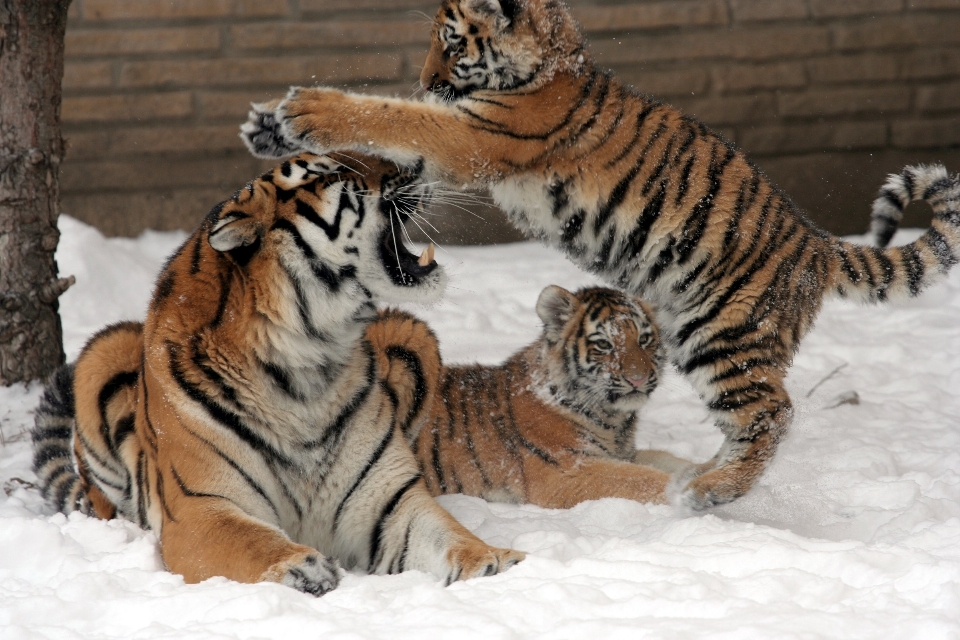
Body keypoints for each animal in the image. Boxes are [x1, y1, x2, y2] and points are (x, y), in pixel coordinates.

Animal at [30, 152, 520, 596]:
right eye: (331, 174)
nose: (416, 164)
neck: (307, 361)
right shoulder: (200, 507)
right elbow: (250, 541)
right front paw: (302, 568)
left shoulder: (390, 502)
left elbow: (449, 535)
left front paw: (495, 562)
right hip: (104, 350)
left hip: (413, 334)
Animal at [364, 288, 688, 508]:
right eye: (605, 345)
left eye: (644, 339)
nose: (638, 378)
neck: (613, 419)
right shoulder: (566, 471)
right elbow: (643, 479)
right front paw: (691, 491)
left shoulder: (619, 454)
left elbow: (666, 461)